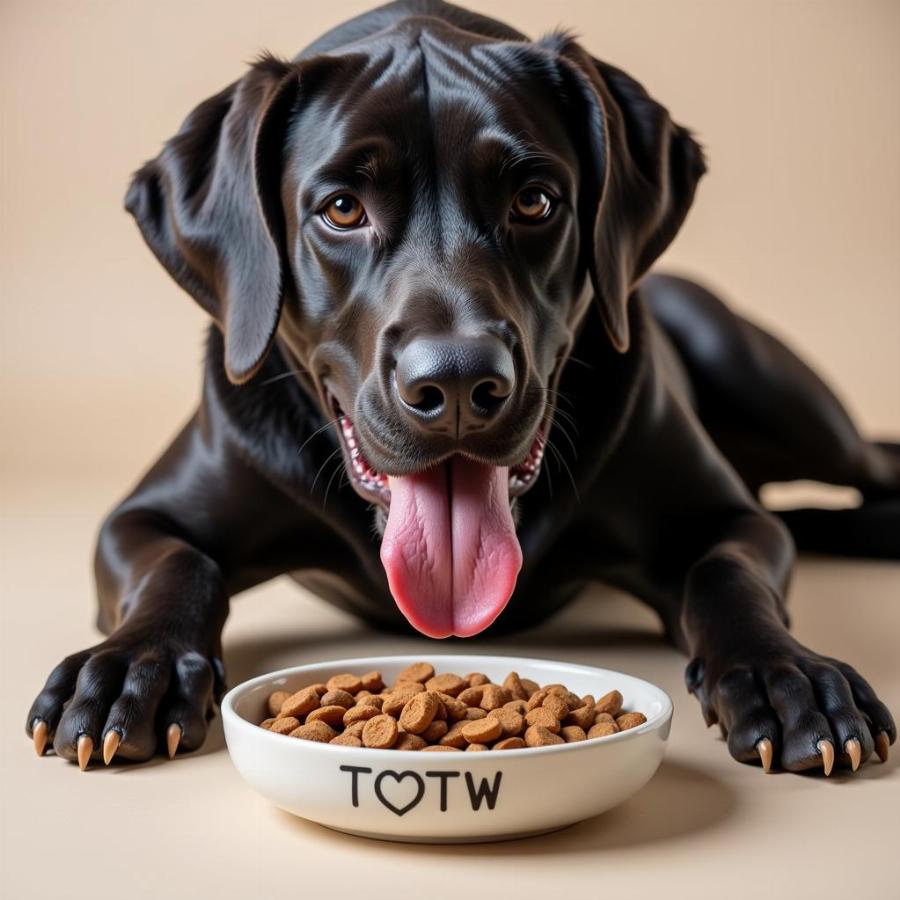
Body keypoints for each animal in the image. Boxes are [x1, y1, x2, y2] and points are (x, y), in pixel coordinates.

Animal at [26, 0, 892, 772]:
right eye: (342, 209)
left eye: (534, 200)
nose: (457, 383)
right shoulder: (139, 518)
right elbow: (179, 566)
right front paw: (129, 668)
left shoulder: (727, 519)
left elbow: (727, 574)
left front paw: (786, 677)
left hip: (771, 386)